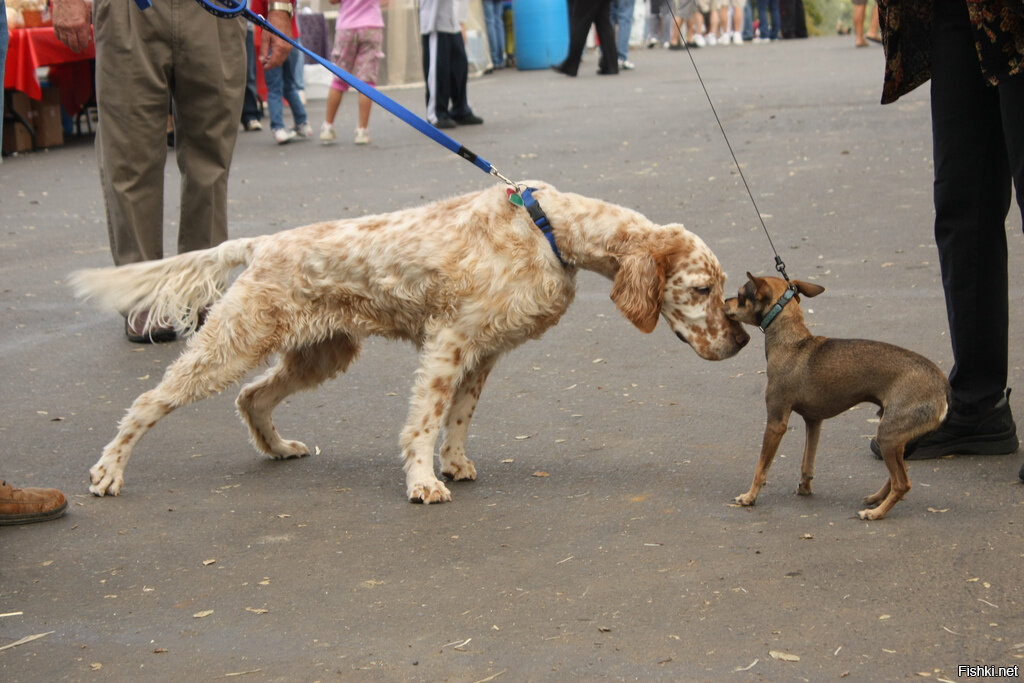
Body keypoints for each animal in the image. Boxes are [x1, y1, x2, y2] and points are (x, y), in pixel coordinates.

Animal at [70, 181, 745, 501]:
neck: (550, 229)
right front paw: (423, 481)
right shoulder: (449, 342)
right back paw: (108, 472)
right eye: (702, 288)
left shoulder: (484, 350)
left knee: (252, 398)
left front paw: (456, 464)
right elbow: (425, 420)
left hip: (323, 352)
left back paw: (279, 447)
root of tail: (262, 243)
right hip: (233, 342)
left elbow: (460, 416)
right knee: (148, 402)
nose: (739, 342)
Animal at [720, 272, 950, 518]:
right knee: (900, 474)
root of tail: (943, 386)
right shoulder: (814, 422)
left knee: (902, 483)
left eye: (741, 296)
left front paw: (749, 496)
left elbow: (761, 467)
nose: (724, 301)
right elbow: (807, 461)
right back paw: (877, 499)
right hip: (897, 438)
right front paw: (805, 487)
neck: (793, 344)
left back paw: (876, 513)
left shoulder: (776, 423)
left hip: (888, 436)